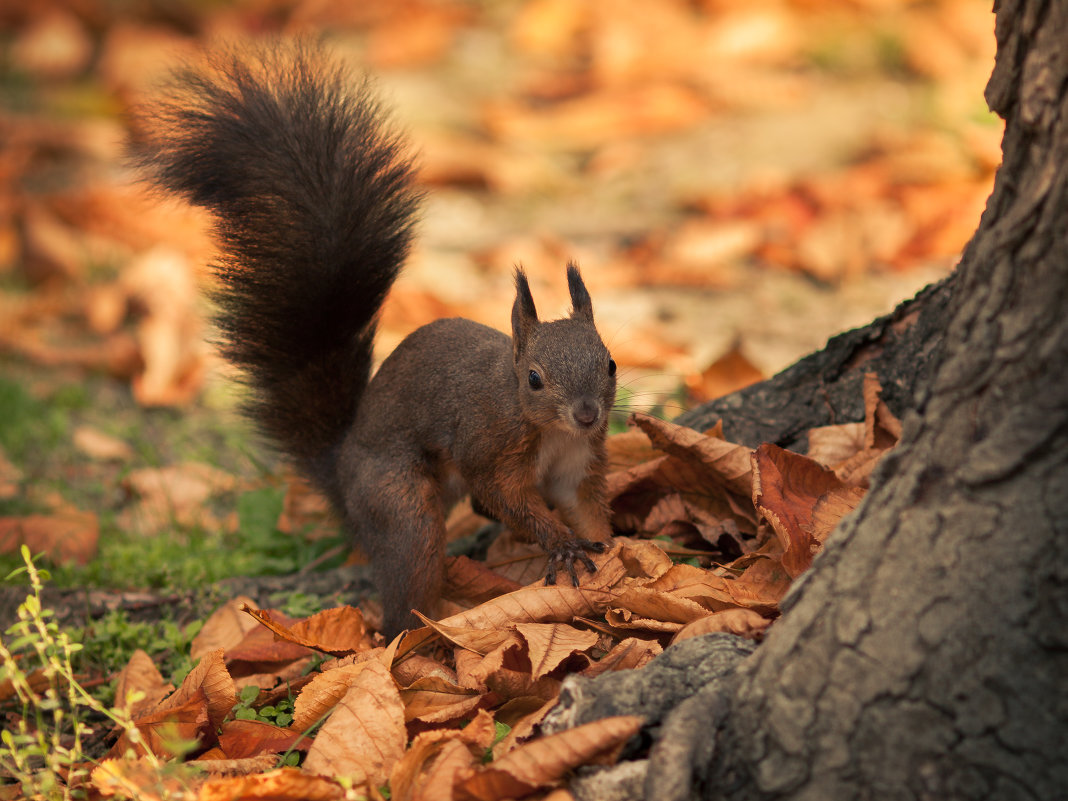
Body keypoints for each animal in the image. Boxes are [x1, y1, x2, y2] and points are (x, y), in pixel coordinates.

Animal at [134, 42, 619, 640]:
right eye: (533, 379)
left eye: (611, 364)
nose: (587, 414)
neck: (550, 431)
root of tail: (343, 476)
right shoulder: (490, 446)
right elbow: (505, 498)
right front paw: (562, 545)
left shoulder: (578, 462)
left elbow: (586, 505)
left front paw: (623, 548)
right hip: (398, 502)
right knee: (409, 567)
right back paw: (420, 632)